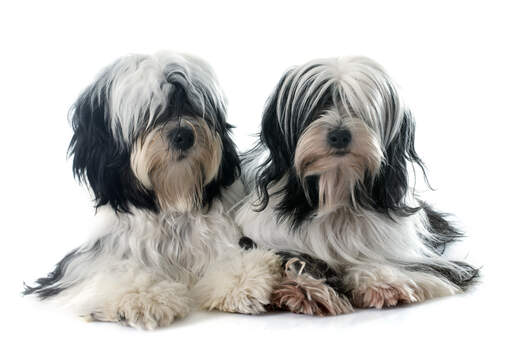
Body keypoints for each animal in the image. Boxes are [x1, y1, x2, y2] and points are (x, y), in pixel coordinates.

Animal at [24, 51, 282, 328]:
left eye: (190, 104)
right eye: (147, 113)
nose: (183, 135)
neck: (171, 201)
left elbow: (233, 259)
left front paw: (244, 283)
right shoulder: (86, 262)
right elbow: (116, 272)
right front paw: (144, 296)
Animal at [237, 55, 480, 316]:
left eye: (357, 108)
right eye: (319, 105)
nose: (339, 135)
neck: (337, 189)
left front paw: (382, 282)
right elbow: (294, 259)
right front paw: (303, 288)